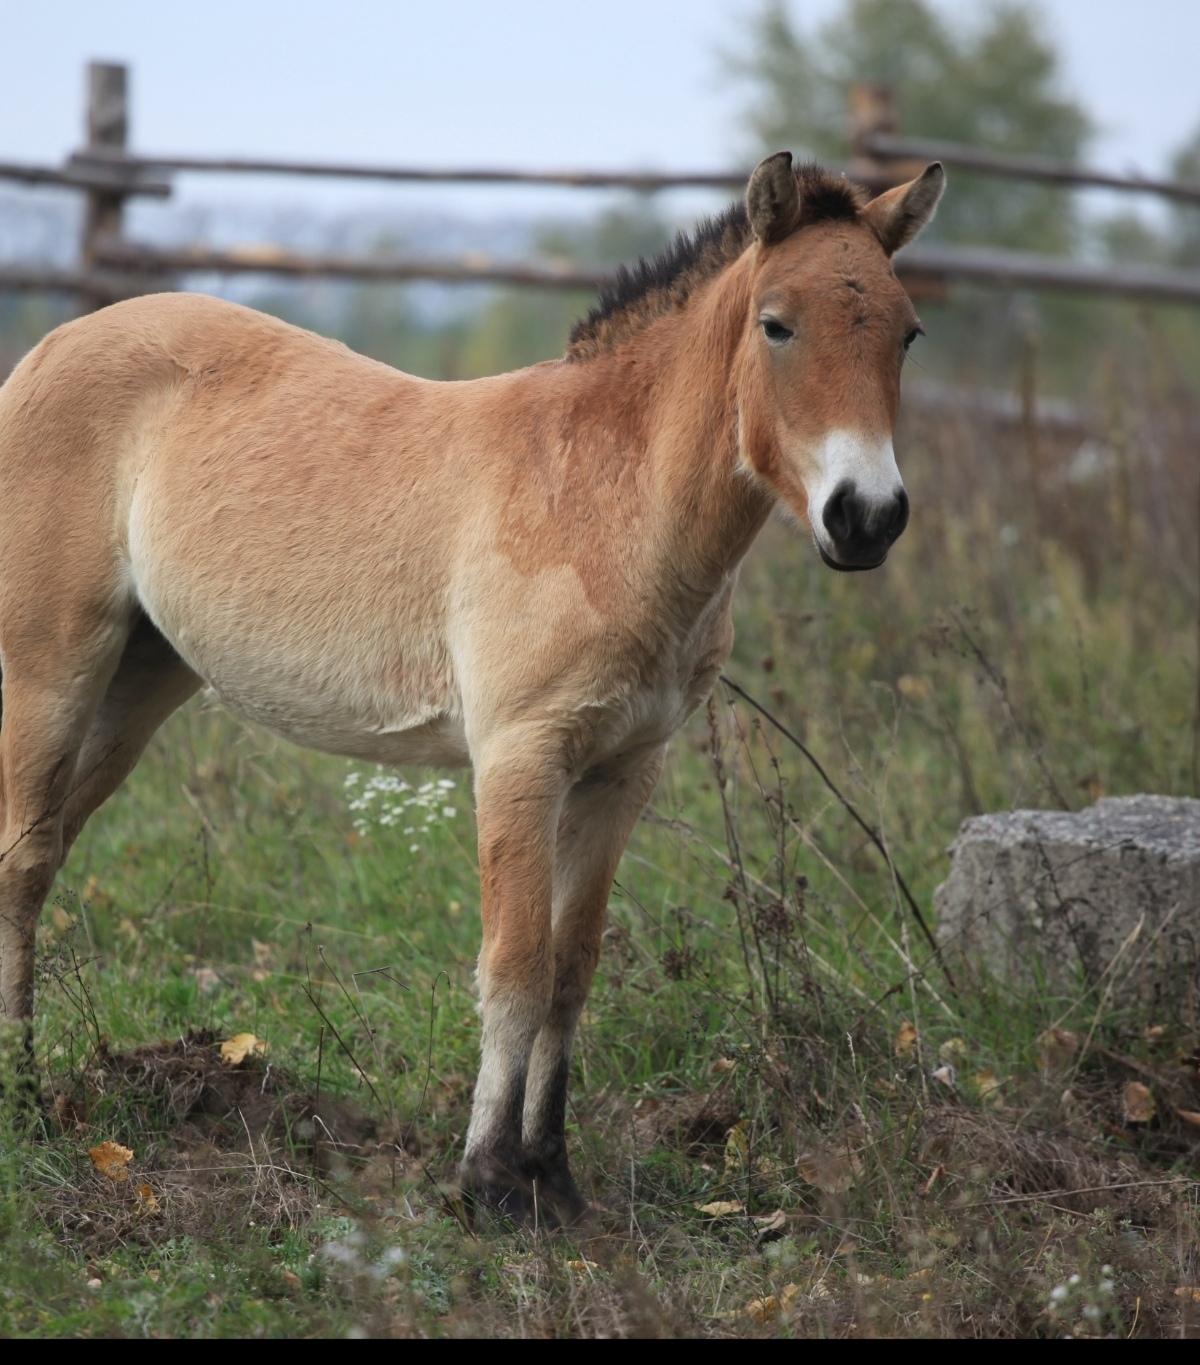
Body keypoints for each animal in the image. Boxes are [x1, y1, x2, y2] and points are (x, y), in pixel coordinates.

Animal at [0, 152, 943, 1223]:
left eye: (908, 332)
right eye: (776, 324)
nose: (866, 517)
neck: (603, 497)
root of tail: (50, 346)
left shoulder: (623, 770)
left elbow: (573, 967)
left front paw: (552, 1174)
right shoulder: (519, 758)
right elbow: (516, 966)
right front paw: (486, 1179)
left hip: (139, 687)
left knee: (45, 849)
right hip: (53, 668)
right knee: (25, 862)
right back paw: (22, 1095)